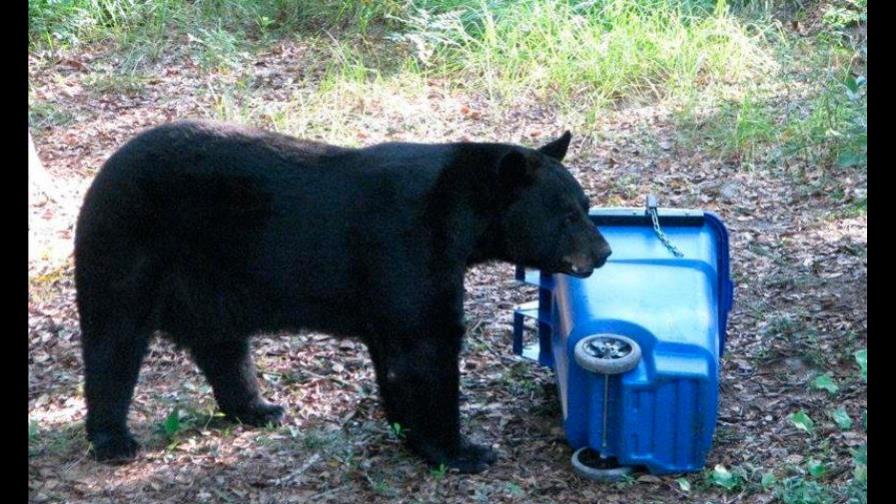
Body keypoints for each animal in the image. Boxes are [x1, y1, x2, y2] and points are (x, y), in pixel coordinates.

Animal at [74, 120, 612, 473]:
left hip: (210, 276)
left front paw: (410, 432)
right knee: (114, 340)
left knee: (221, 343)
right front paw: (462, 450)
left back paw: (258, 407)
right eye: (567, 215)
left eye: (586, 206)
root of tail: (104, 172)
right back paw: (113, 439)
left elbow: (398, 355)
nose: (604, 251)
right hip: (128, 244)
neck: (460, 218)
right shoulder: (408, 243)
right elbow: (426, 346)